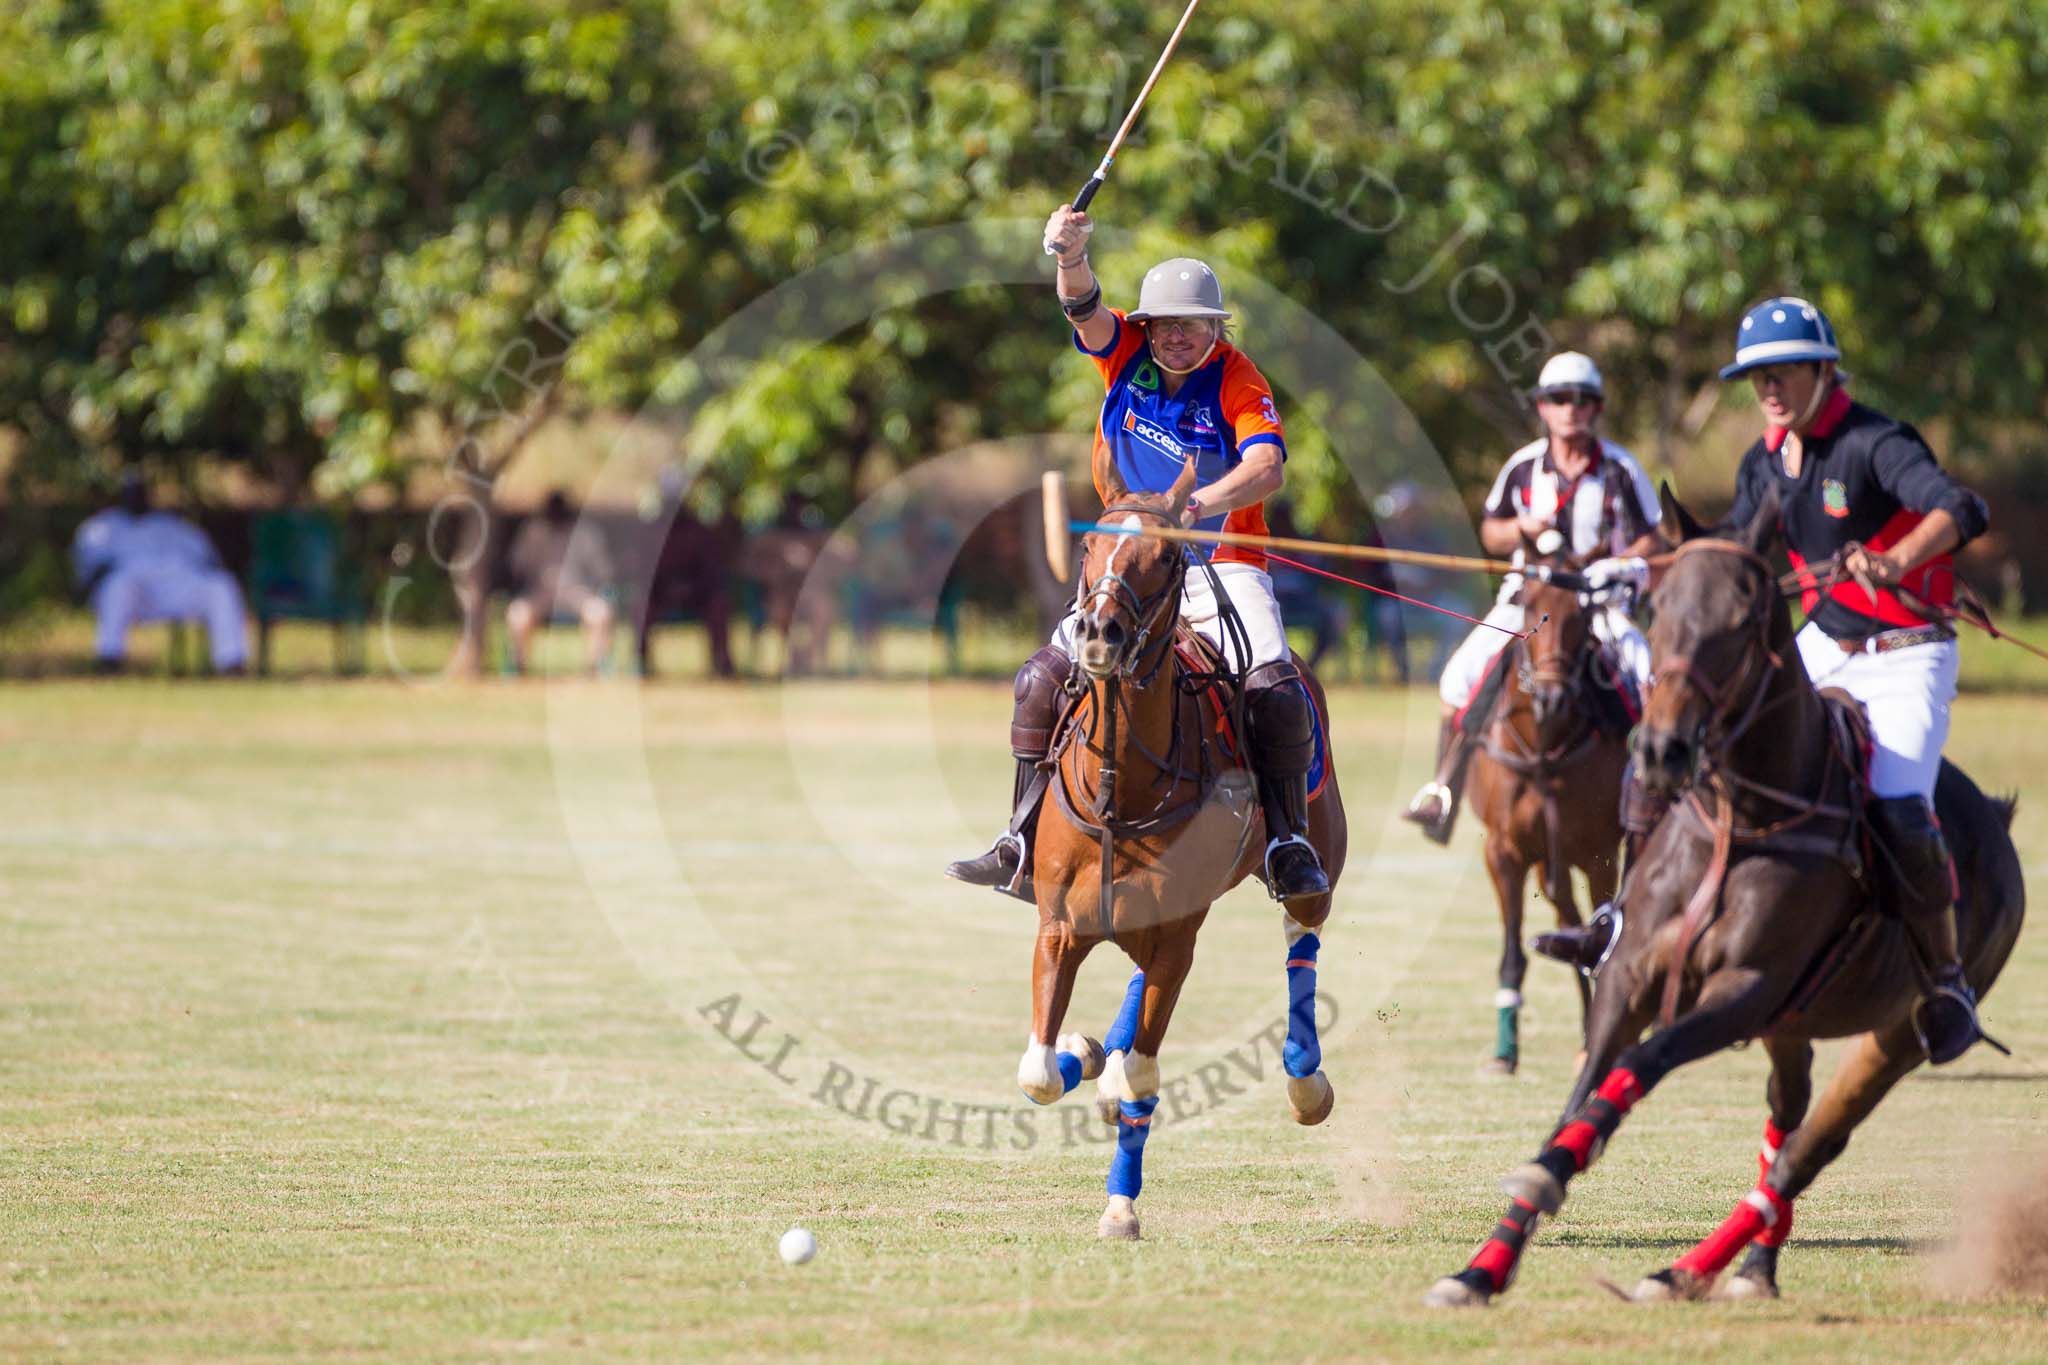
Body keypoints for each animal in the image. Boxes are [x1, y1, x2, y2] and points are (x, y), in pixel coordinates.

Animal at [1474, 556, 1630, 1080]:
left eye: (1580, 619)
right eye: (1529, 609)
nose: (1551, 699)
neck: (1543, 751)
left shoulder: (1602, 855)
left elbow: (1604, 937)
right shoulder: (1503, 853)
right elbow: (1512, 955)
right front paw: (1504, 1053)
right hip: (1548, 864)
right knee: (1567, 919)